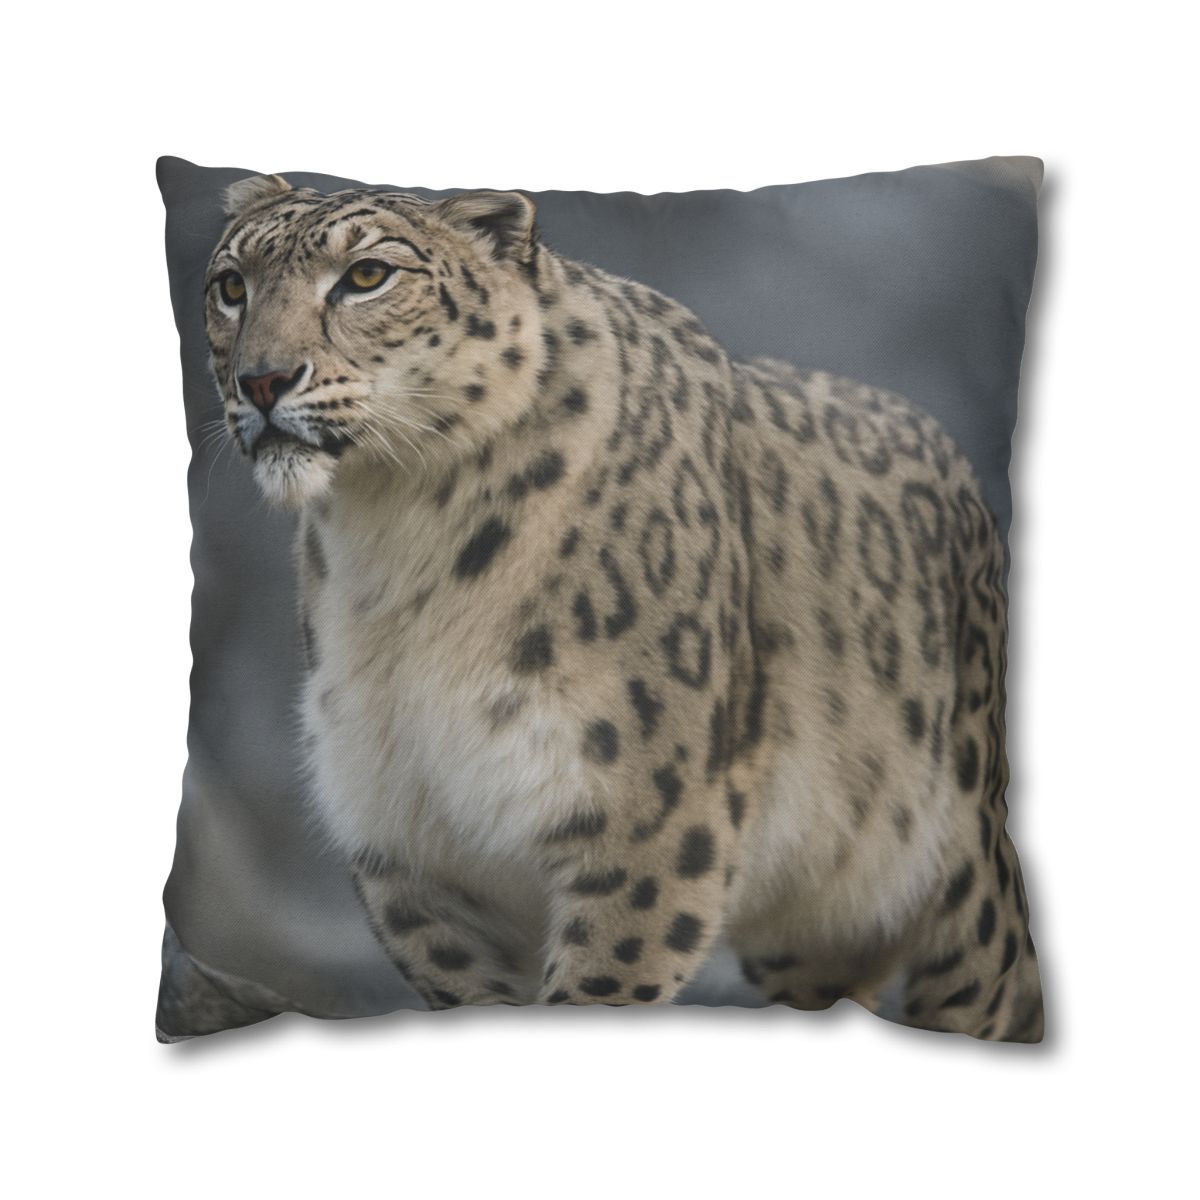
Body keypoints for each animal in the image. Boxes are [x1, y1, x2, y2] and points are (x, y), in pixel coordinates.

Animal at [203, 173, 1044, 1041]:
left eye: (368, 275)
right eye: (230, 286)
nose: (261, 380)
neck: (396, 542)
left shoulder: (645, 820)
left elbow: (600, 985)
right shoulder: (409, 841)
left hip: (969, 891)